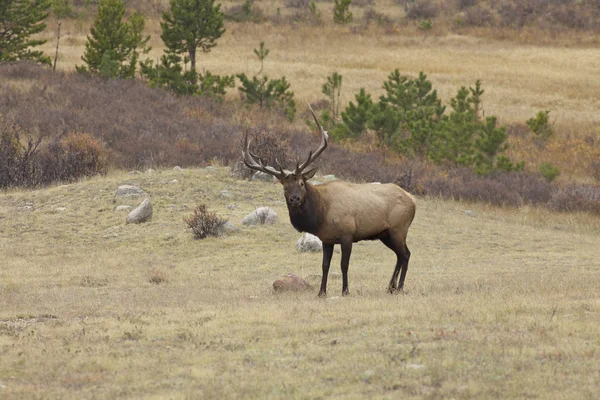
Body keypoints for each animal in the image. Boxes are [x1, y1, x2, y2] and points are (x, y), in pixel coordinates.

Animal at [241, 106, 414, 296]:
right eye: (284, 186)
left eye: (301, 183)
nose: (295, 199)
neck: (321, 213)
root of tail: (412, 200)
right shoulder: (327, 238)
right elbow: (325, 265)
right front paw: (321, 292)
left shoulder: (347, 234)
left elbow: (344, 265)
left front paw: (345, 291)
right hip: (385, 234)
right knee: (399, 255)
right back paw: (390, 287)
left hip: (399, 228)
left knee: (406, 254)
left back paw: (400, 287)